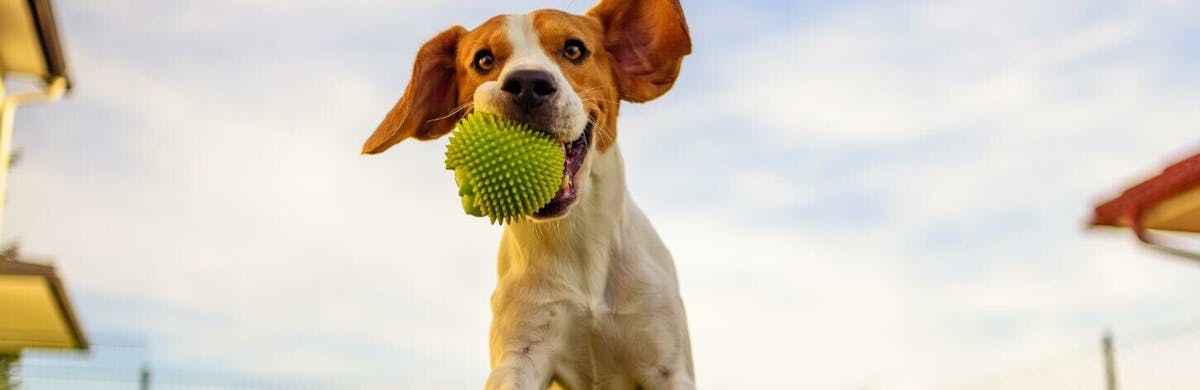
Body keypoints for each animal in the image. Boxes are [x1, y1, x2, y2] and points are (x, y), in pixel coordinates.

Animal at [357, 0, 696, 386]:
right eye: (484, 60)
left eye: (574, 49)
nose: (528, 84)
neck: (576, 242)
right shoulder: (521, 353)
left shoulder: (667, 364)